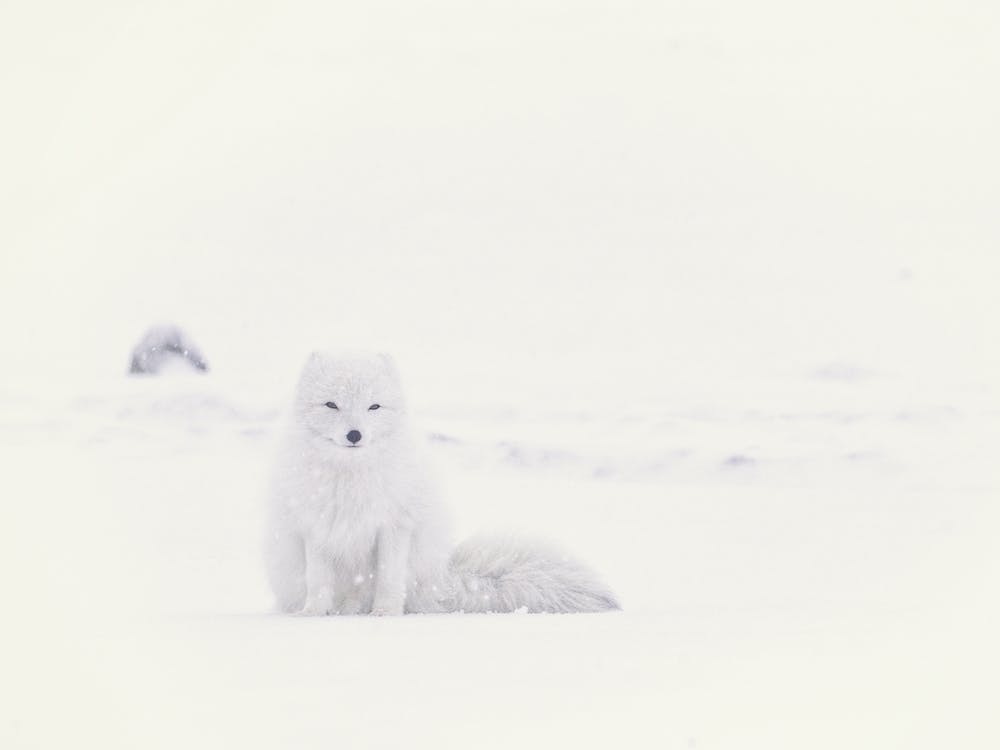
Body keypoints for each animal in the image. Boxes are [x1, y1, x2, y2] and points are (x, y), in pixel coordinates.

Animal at [264, 350, 619, 616]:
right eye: (331, 404)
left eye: (373, 406)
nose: (355, 434)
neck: (350, 478)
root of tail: (442, 579)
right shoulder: (315, 525)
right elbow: (317, 578)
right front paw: (313, 614)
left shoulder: (396, 524)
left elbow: (389, 576)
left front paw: (385, 613)